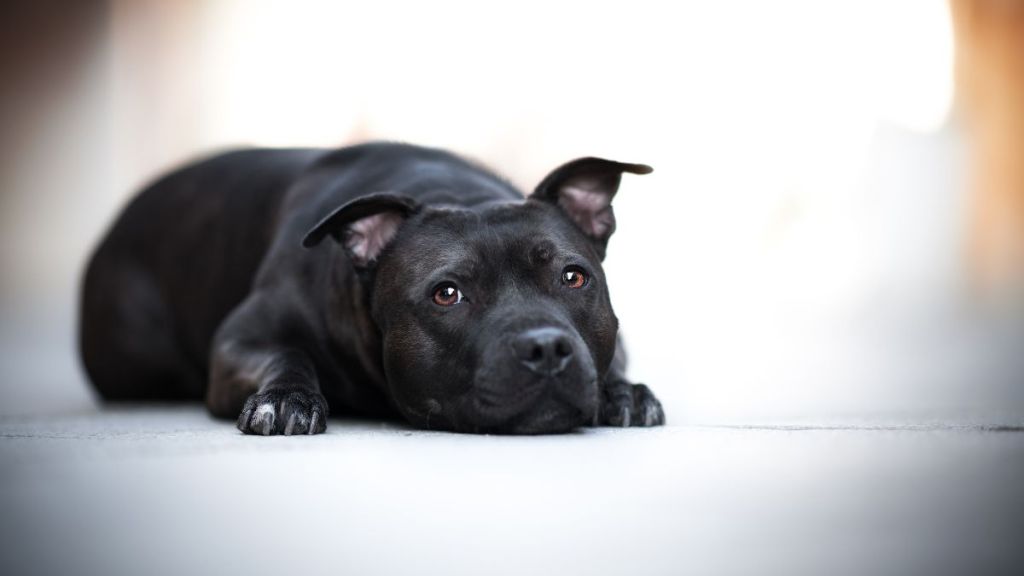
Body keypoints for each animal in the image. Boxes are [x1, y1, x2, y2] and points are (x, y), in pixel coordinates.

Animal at [83, 141, 667, 432]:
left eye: (573, 277)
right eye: (447, 294)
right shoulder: (237, 341)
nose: (546, 347)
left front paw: (622, 391)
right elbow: (286, 352)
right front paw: (287, 398)